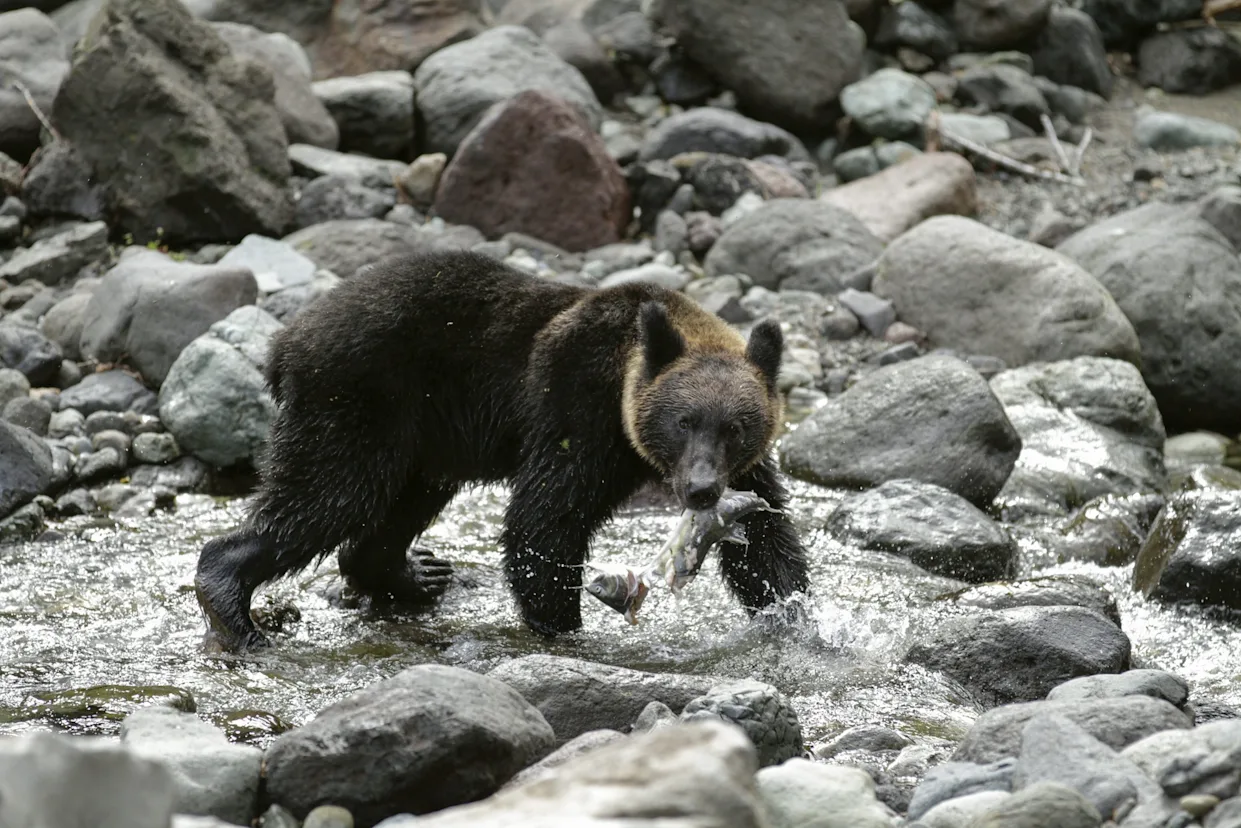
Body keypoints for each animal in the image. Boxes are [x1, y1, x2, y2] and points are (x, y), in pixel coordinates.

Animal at [194, 248, 810, 649]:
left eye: (737, 426)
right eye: (683, 421)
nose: (701, 489)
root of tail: (285, 342)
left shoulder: (745, 470)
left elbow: (766, 539)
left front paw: (793, 617)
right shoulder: (577, 408)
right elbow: (544, 520)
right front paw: (563, 626)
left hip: (424, 439)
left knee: (395, 506)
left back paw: (417, 573)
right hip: (359, 401)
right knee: (327, 497)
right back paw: (234, 610)